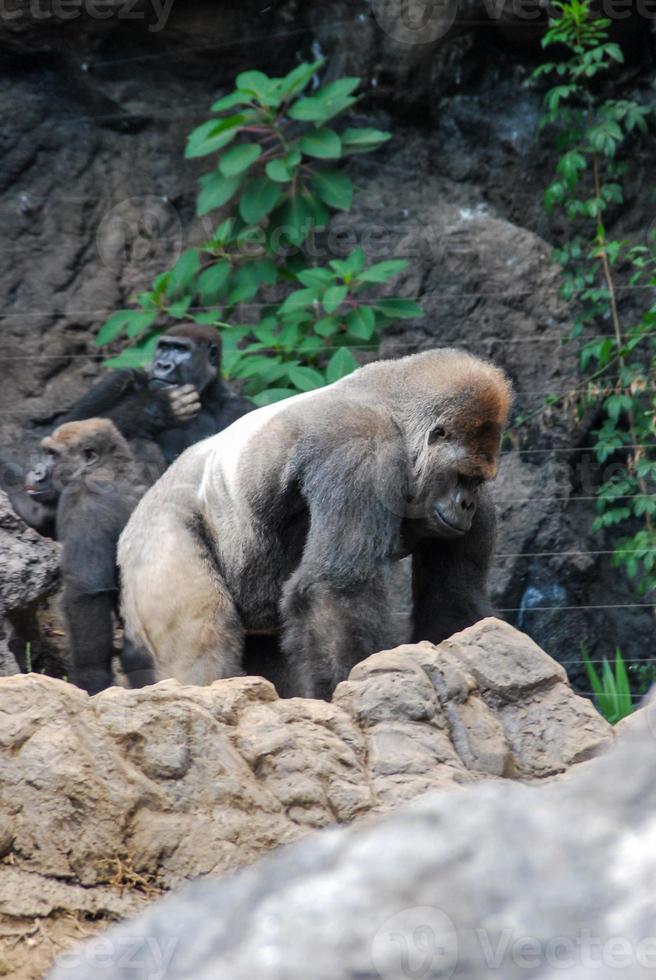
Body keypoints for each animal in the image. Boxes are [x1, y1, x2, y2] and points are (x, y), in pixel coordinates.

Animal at [120, 348, 516, 700]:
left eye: (477, 482)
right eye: (462, 476)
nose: (466, 505)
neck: (398, 417)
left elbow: (453, 598)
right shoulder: (360, 448)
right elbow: (335, 588)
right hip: (154, 533)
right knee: (204, 637)